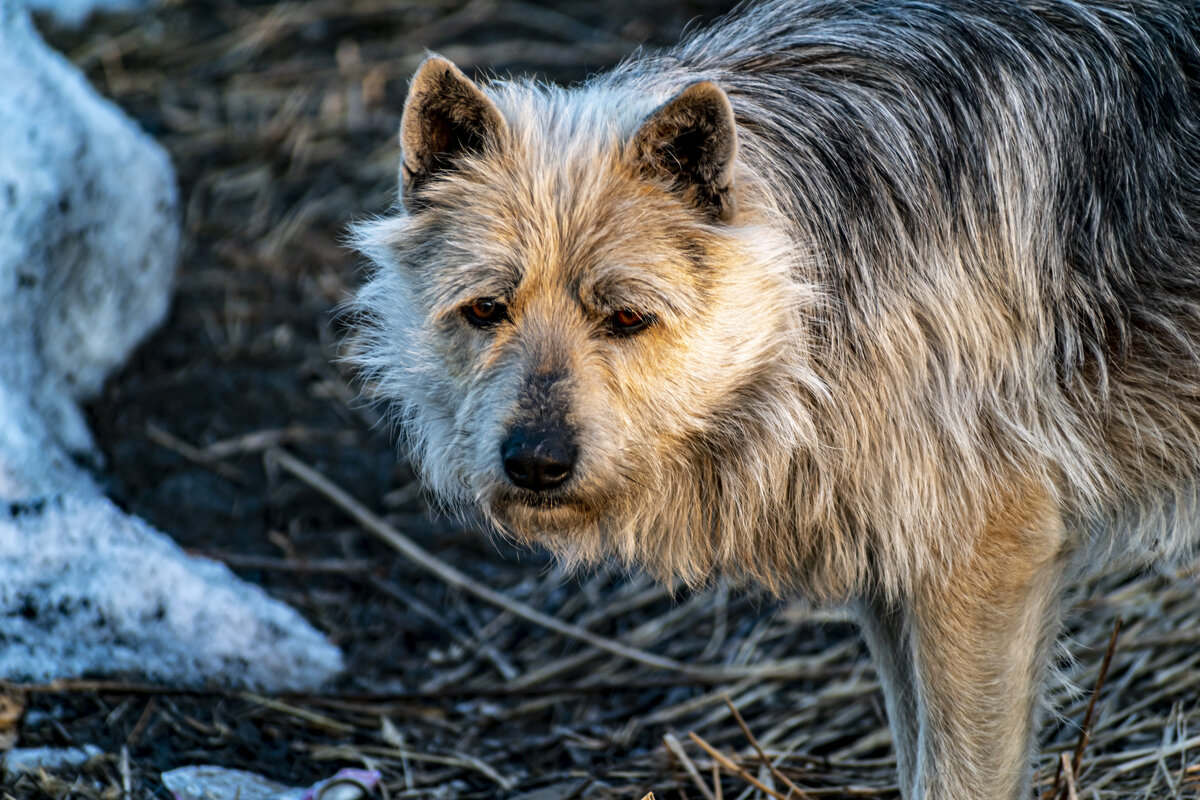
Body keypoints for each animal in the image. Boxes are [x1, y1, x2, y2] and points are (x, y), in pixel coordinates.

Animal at [348, 3, 1200, 796]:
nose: (535, 462)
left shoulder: (985, 564)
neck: (815, 285)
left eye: (626, 317)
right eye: (487, 309)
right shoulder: (897, 579)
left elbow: (955, 778)